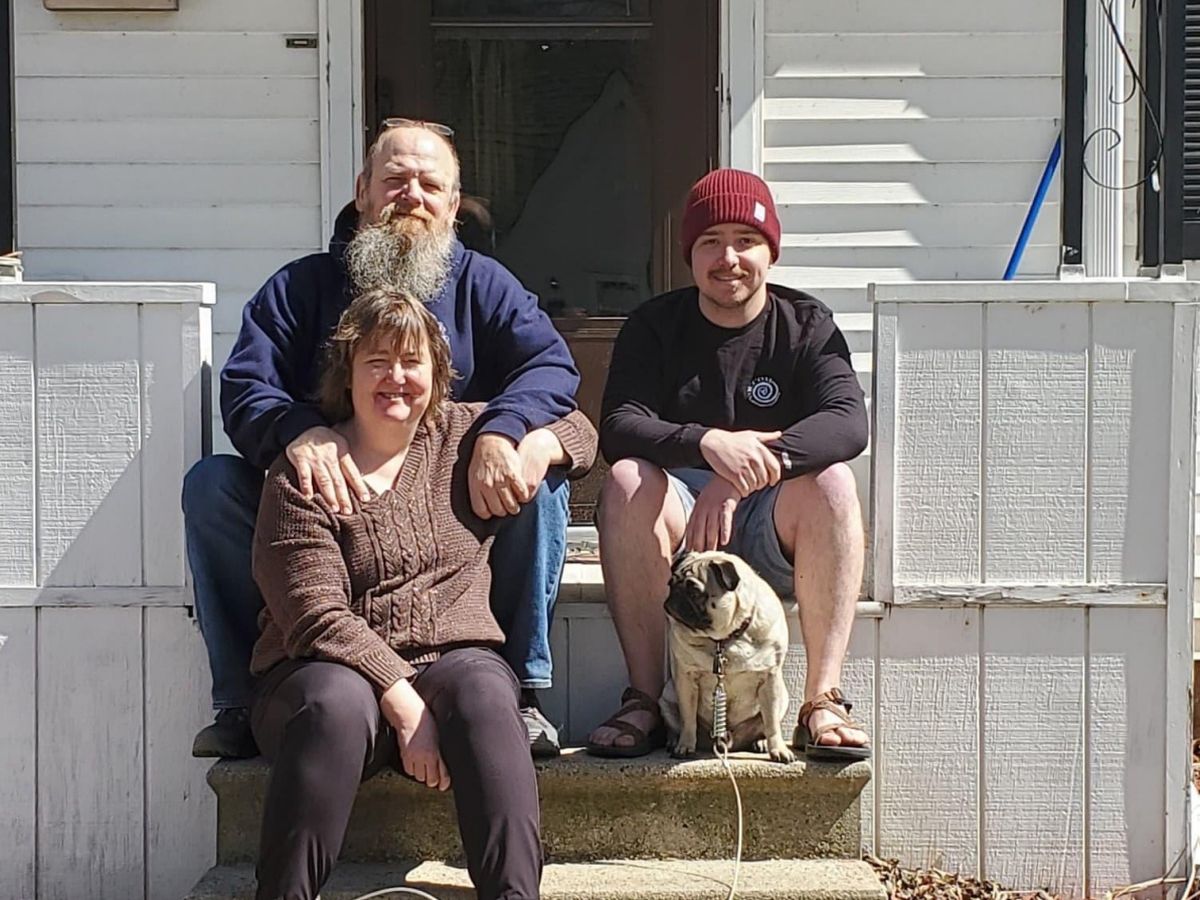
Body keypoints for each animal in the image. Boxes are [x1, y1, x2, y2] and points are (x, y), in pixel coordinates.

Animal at [660, 550, 794, 763]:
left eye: (694, 592)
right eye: (670, 584)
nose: (675, 595)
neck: (724, 639)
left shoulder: (770, 680)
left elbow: (772, 723)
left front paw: (778, 749)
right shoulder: (686, 680)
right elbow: (688, 718)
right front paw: (685, 746)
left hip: (783, 697)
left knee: (765, 725)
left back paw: (761, 742)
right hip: (667, 694)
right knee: (675, 724)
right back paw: (674, 741)